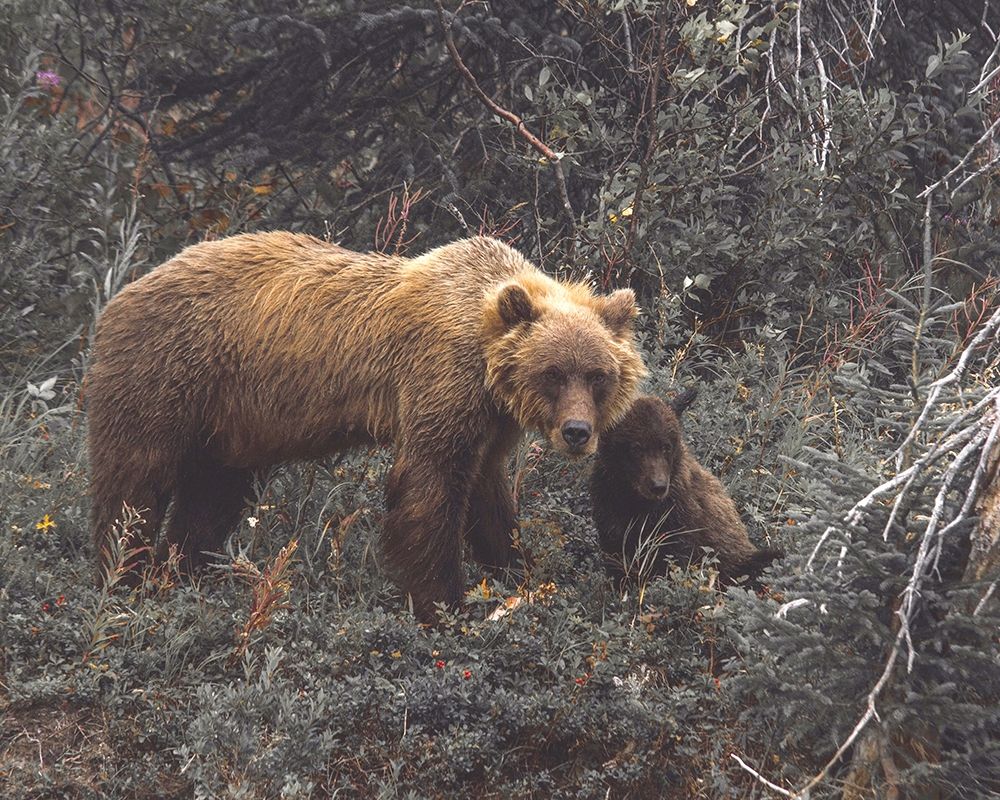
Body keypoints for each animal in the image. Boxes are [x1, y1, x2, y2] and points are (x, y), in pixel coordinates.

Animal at [87, 232, 646, 620]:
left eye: (597, 374)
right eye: (552, 372)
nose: (577, 431)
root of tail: (120, 296)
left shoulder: (490, 419)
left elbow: (487, 494)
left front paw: (521, 573)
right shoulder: (439, 379)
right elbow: (428, 485)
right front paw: (443, 605)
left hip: (226, 423)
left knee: (211, 496)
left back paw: (182, 573)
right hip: (167, 374)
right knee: (134, 484)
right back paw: (123, 575)